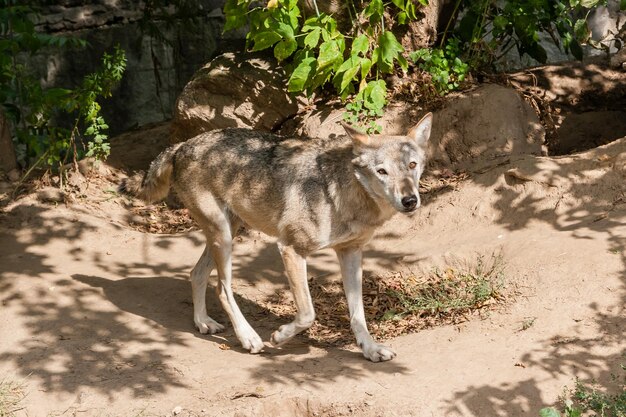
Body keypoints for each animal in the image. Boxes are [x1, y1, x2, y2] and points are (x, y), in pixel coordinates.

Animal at [123, 114, 428, 360]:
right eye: (382, 171)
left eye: (412, 165)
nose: (410, 200)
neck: (343, 191)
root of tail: (181, 145)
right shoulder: (291, 249)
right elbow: (307, 314)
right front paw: (280, 336)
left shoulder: (351, 253)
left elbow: (358, 314)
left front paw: (370, 349)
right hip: (223, 236)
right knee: (222, 288)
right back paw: (248, 337)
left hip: (227, 231)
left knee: (196, 274)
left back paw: (203, 323)